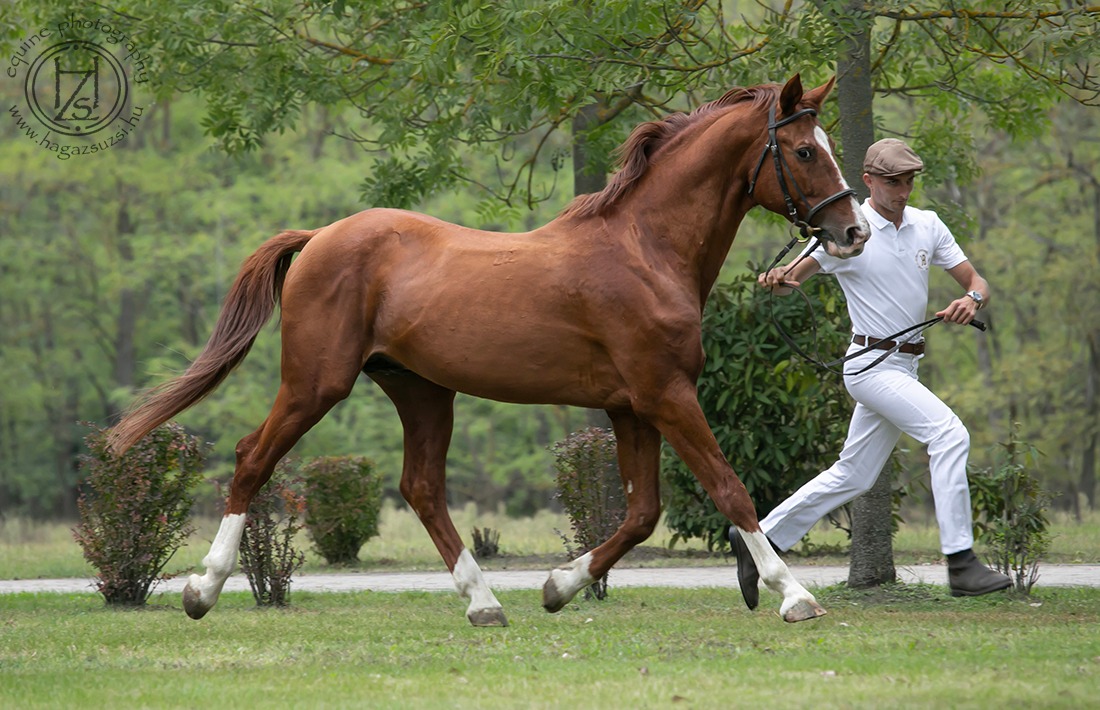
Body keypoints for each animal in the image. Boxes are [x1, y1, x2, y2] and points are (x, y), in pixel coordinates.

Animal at [111, 74, 866, 625]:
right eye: (805, 151)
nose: (852, 231)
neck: (644, 249)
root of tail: (320, 236)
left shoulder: (632, 408)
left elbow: (641, 512)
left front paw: (559, 586)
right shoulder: (665, 396)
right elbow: (730, 489)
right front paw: (795, 595)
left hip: (421, 390)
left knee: (421, 488)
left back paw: (485, 603)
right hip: (315, 384)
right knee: (252, 459)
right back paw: (201, 592)